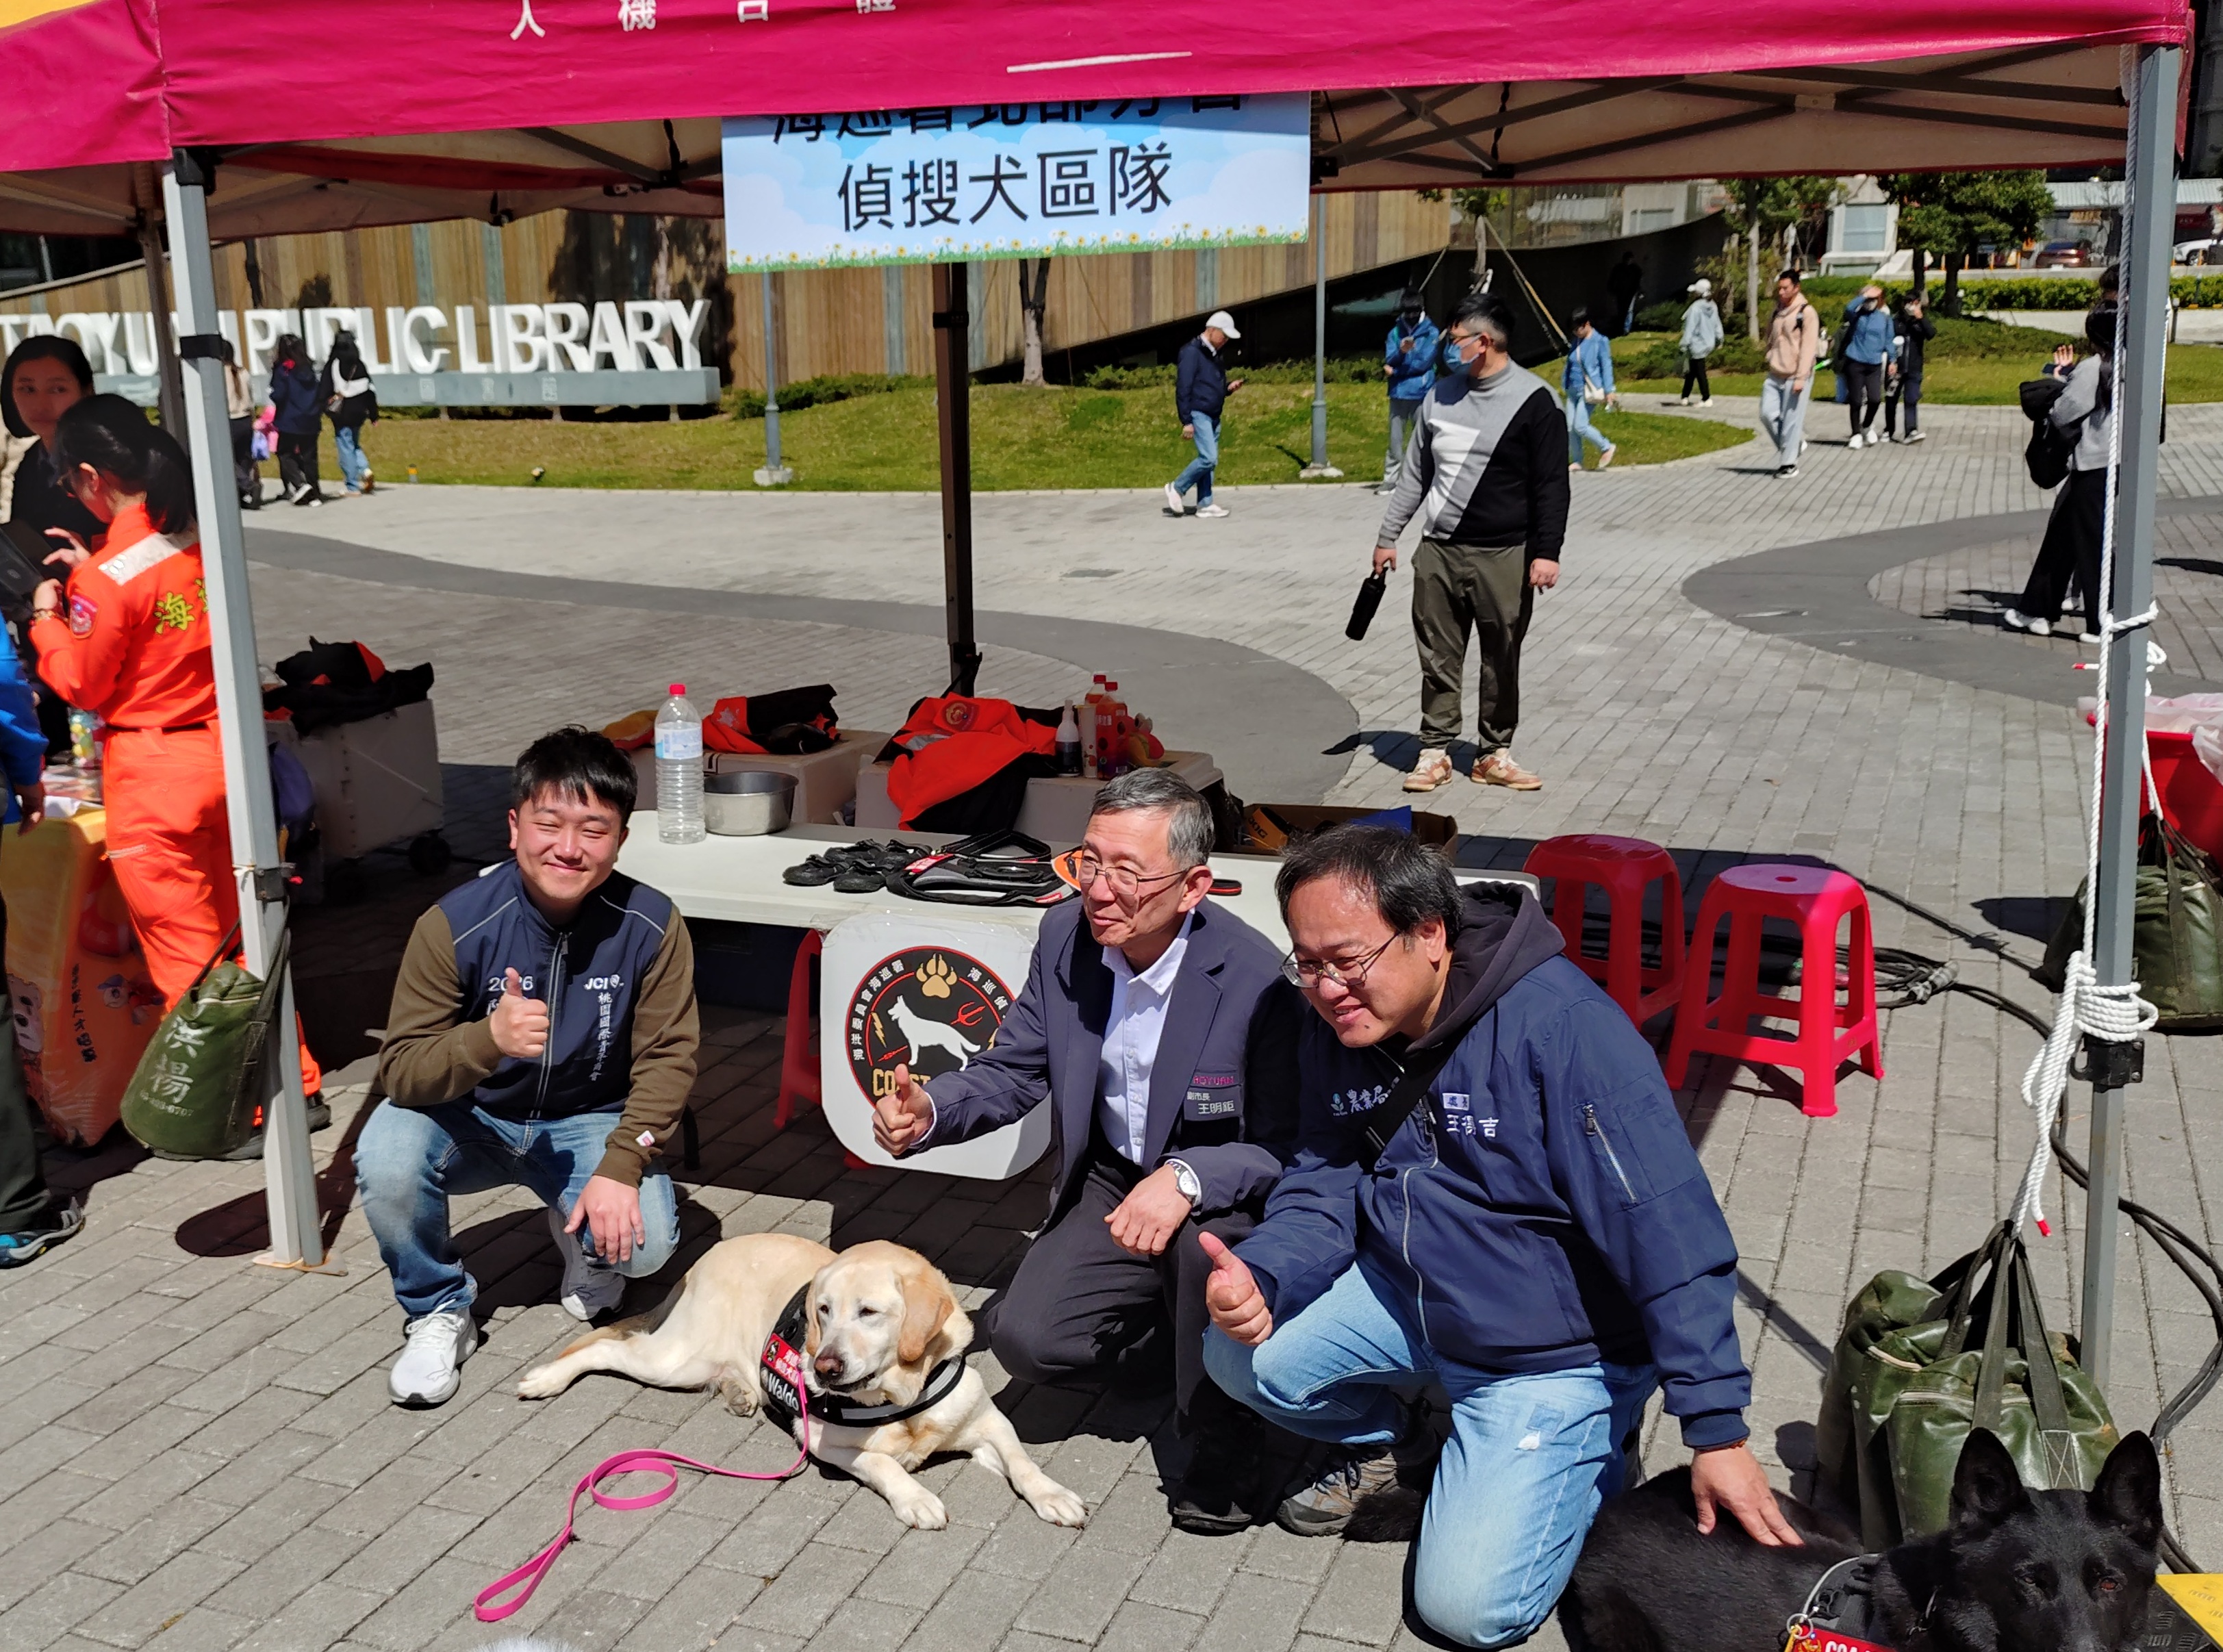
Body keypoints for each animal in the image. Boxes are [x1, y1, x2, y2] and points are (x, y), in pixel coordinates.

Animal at [517, 1233, 1087, 1531]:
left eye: (869, 1312)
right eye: (823, 1311)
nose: (824, 1366)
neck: (902, 1398)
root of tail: (709, 1253)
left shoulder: (987, 1421)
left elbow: (1021, 1460)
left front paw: (1053, 1494)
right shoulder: (819, 1439)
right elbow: (881, 1462)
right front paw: (915, 1498)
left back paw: (741, 1392)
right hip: (675, 1358)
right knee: (605, 1348)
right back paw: (546, 1377)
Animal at [883, 999, 981, 1068]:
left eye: (895, 1008)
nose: (887, 1011)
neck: (907, 1019)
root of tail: (954, 1031)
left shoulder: (913, 1044)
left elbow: (914, 1054)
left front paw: (913, 1062)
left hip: (952, 1049)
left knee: (965, 1057)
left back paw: (963, 1069)